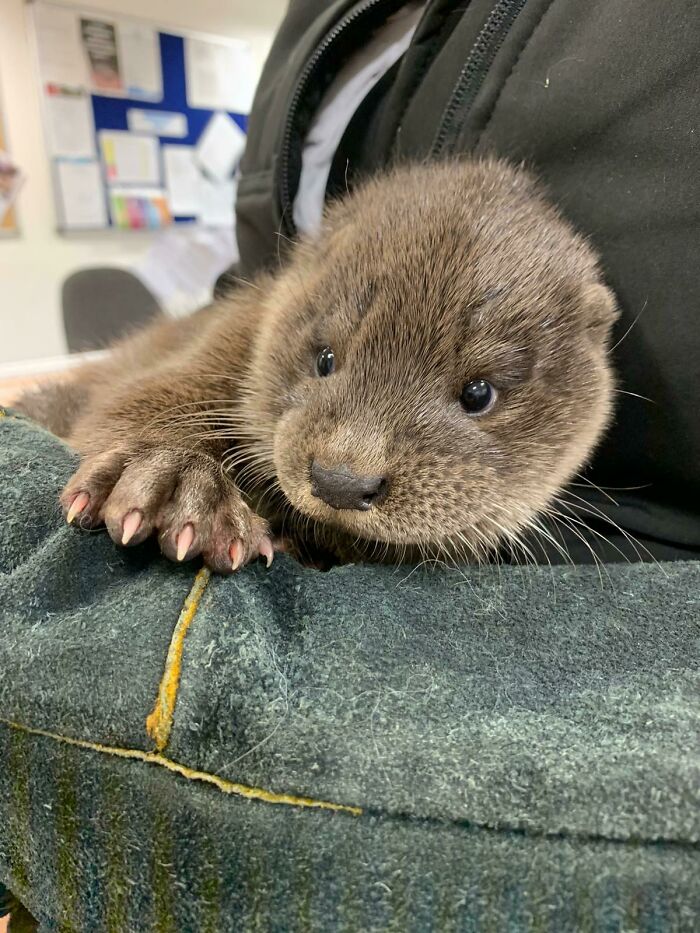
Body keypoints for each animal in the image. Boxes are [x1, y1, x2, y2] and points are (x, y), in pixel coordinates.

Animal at [17, 158, 619, 572]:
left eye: (478, 394)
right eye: (325, 358)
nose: (342, 482)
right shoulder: (230, 333)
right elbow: (142, 399)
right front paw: (174, 482)